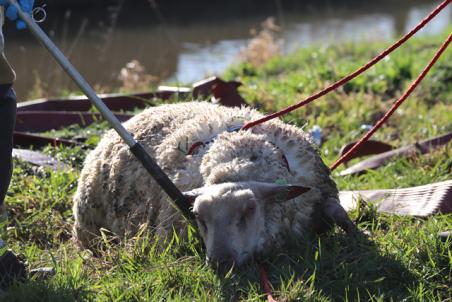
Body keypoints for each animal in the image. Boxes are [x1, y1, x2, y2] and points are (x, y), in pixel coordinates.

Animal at [73, 101, 356, 272]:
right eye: (197, 216)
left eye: (249, 209)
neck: (237, 160)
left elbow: (337, 211)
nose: (220, 263)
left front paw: (358, 236)